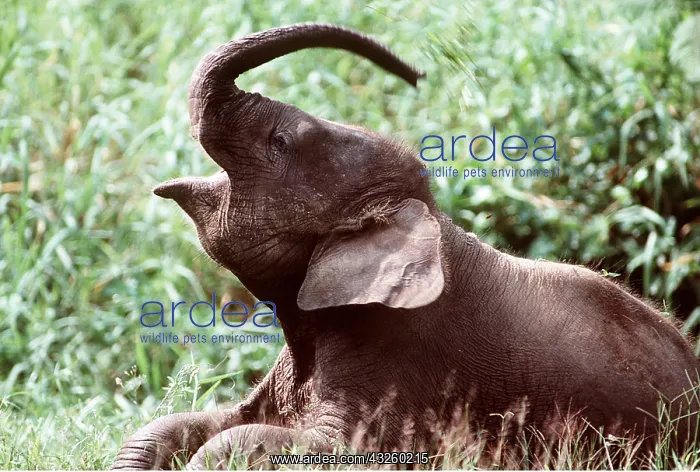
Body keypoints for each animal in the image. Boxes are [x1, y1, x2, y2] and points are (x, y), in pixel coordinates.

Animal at [112, 23, 700, 469]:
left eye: (280, 142)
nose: (417, 71)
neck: (424, 217)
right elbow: (182, 425)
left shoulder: (399, 363)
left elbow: (268, 441)